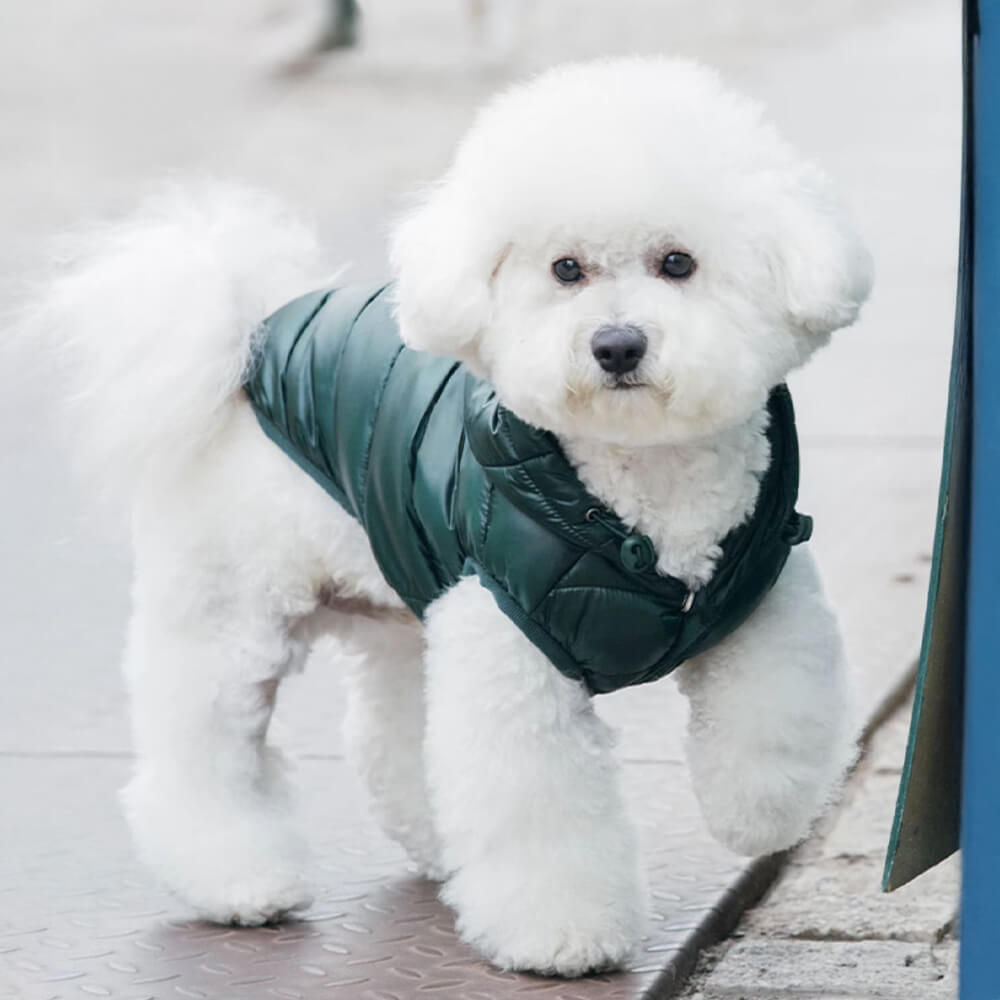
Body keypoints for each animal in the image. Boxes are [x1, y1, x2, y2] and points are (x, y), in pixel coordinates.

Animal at [31, 56, 872, 976]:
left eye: (677, 262)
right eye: (566, 270)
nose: (616, 344)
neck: (637, 490)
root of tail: (248, 350)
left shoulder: (763, 593)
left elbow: (772, 719)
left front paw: (757, 814)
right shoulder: (512, 647)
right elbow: (538, 807)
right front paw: (561, 935)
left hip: (407, 599)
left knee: (391, 735)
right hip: (231, 612)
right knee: (202, 752)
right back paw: (237, 879)